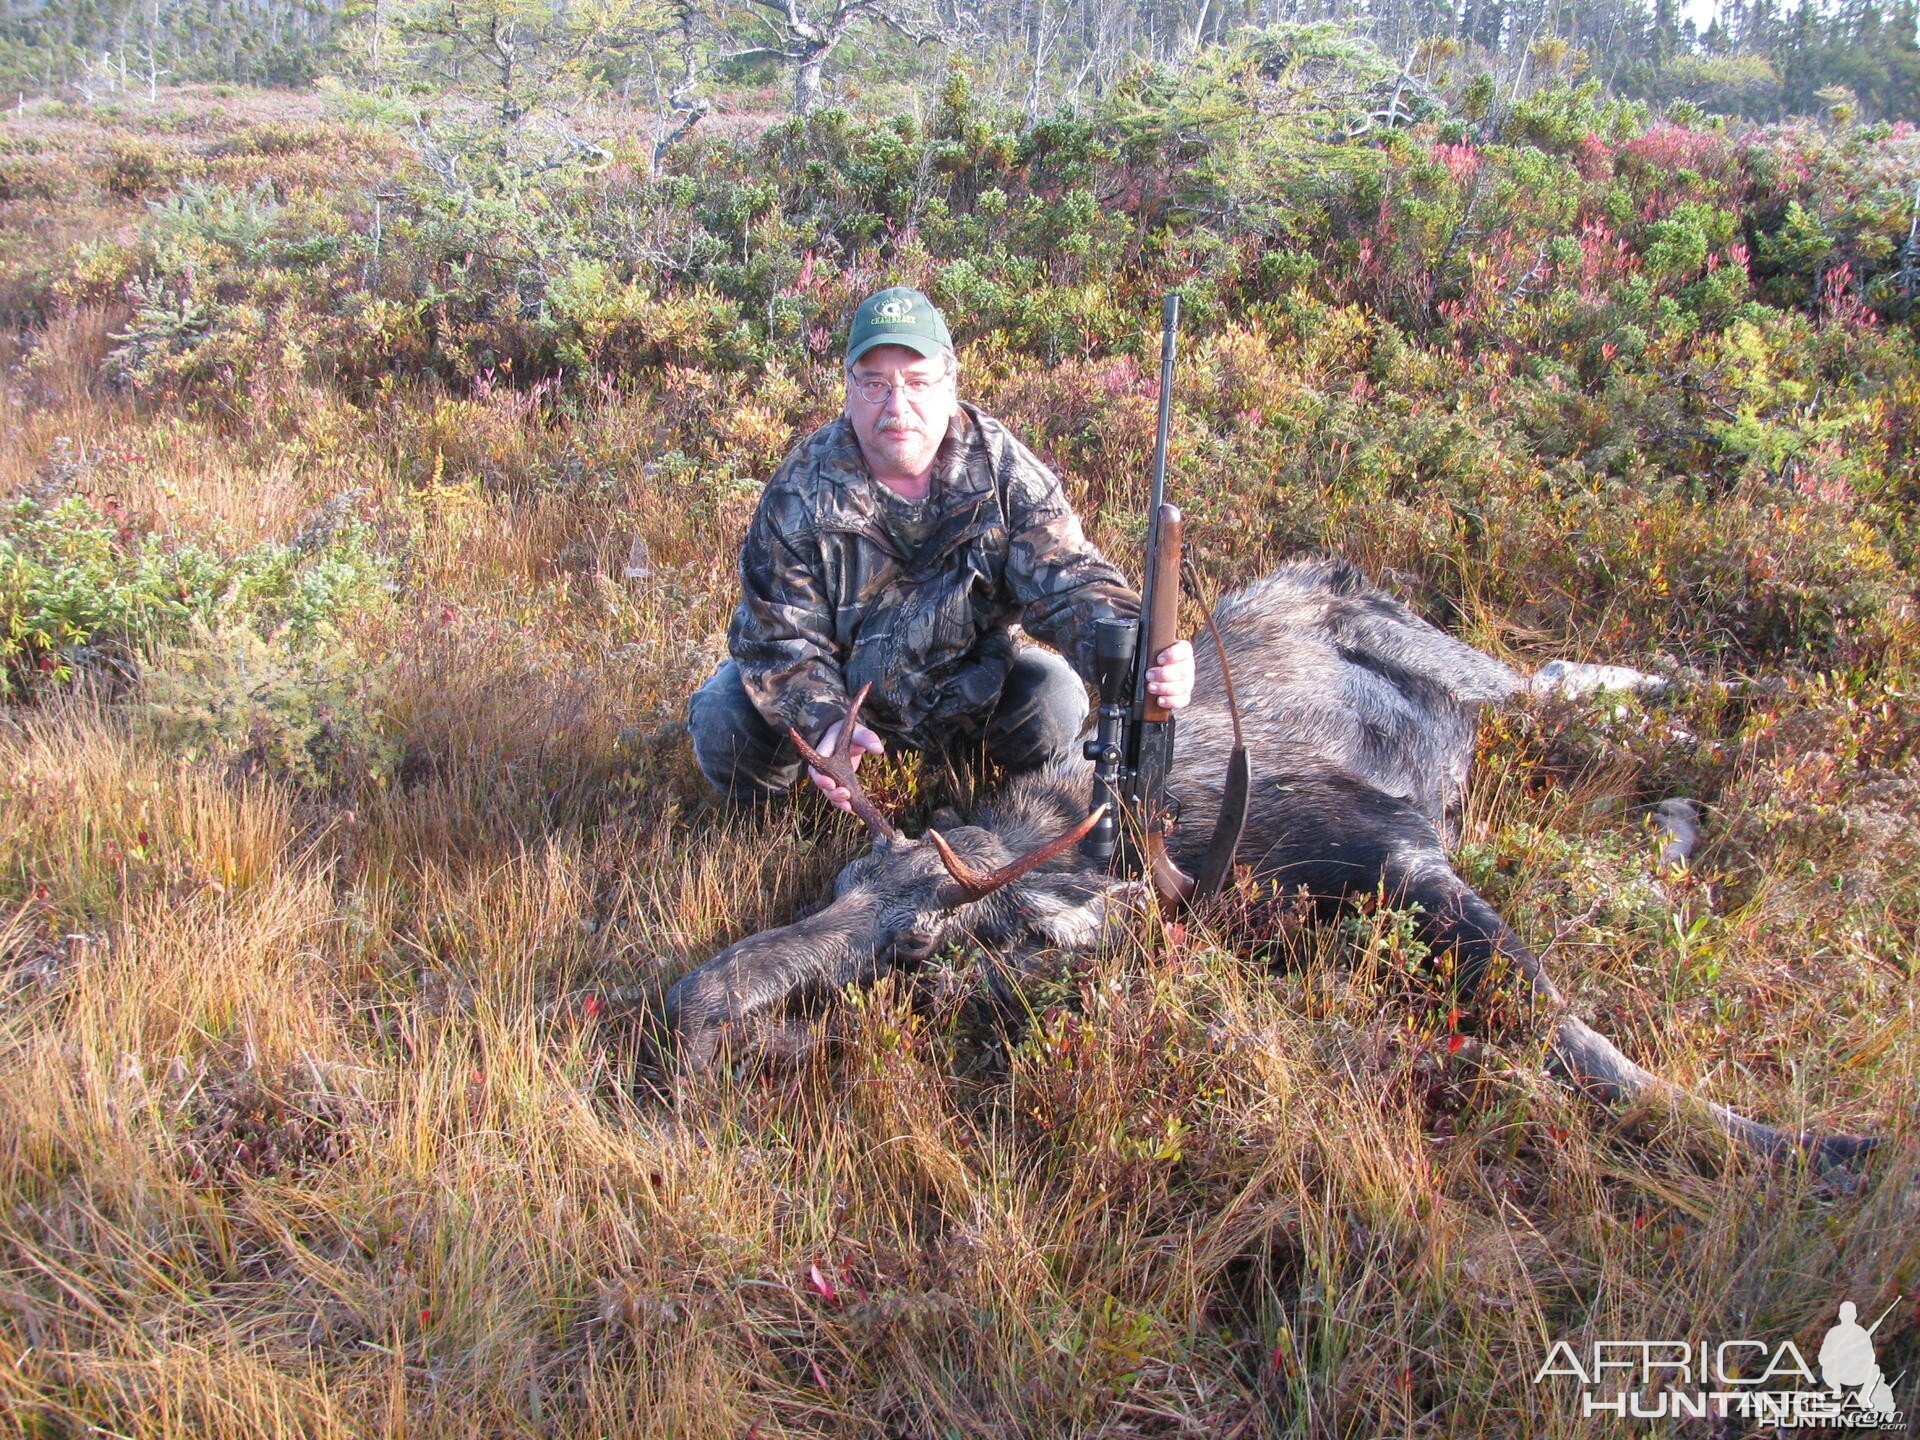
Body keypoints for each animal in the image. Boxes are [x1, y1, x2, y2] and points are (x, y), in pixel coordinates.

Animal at [668, 556, 1881, 1167]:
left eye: (919, 944)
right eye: (840, 887)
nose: (694, 1001)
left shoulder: (1395, 851)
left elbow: (1576, 1038)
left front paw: (1822, 1145)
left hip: (1472, 677)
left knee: (1600, 687)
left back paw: (1792, 756)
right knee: (1591, 684)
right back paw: (1690, 817)